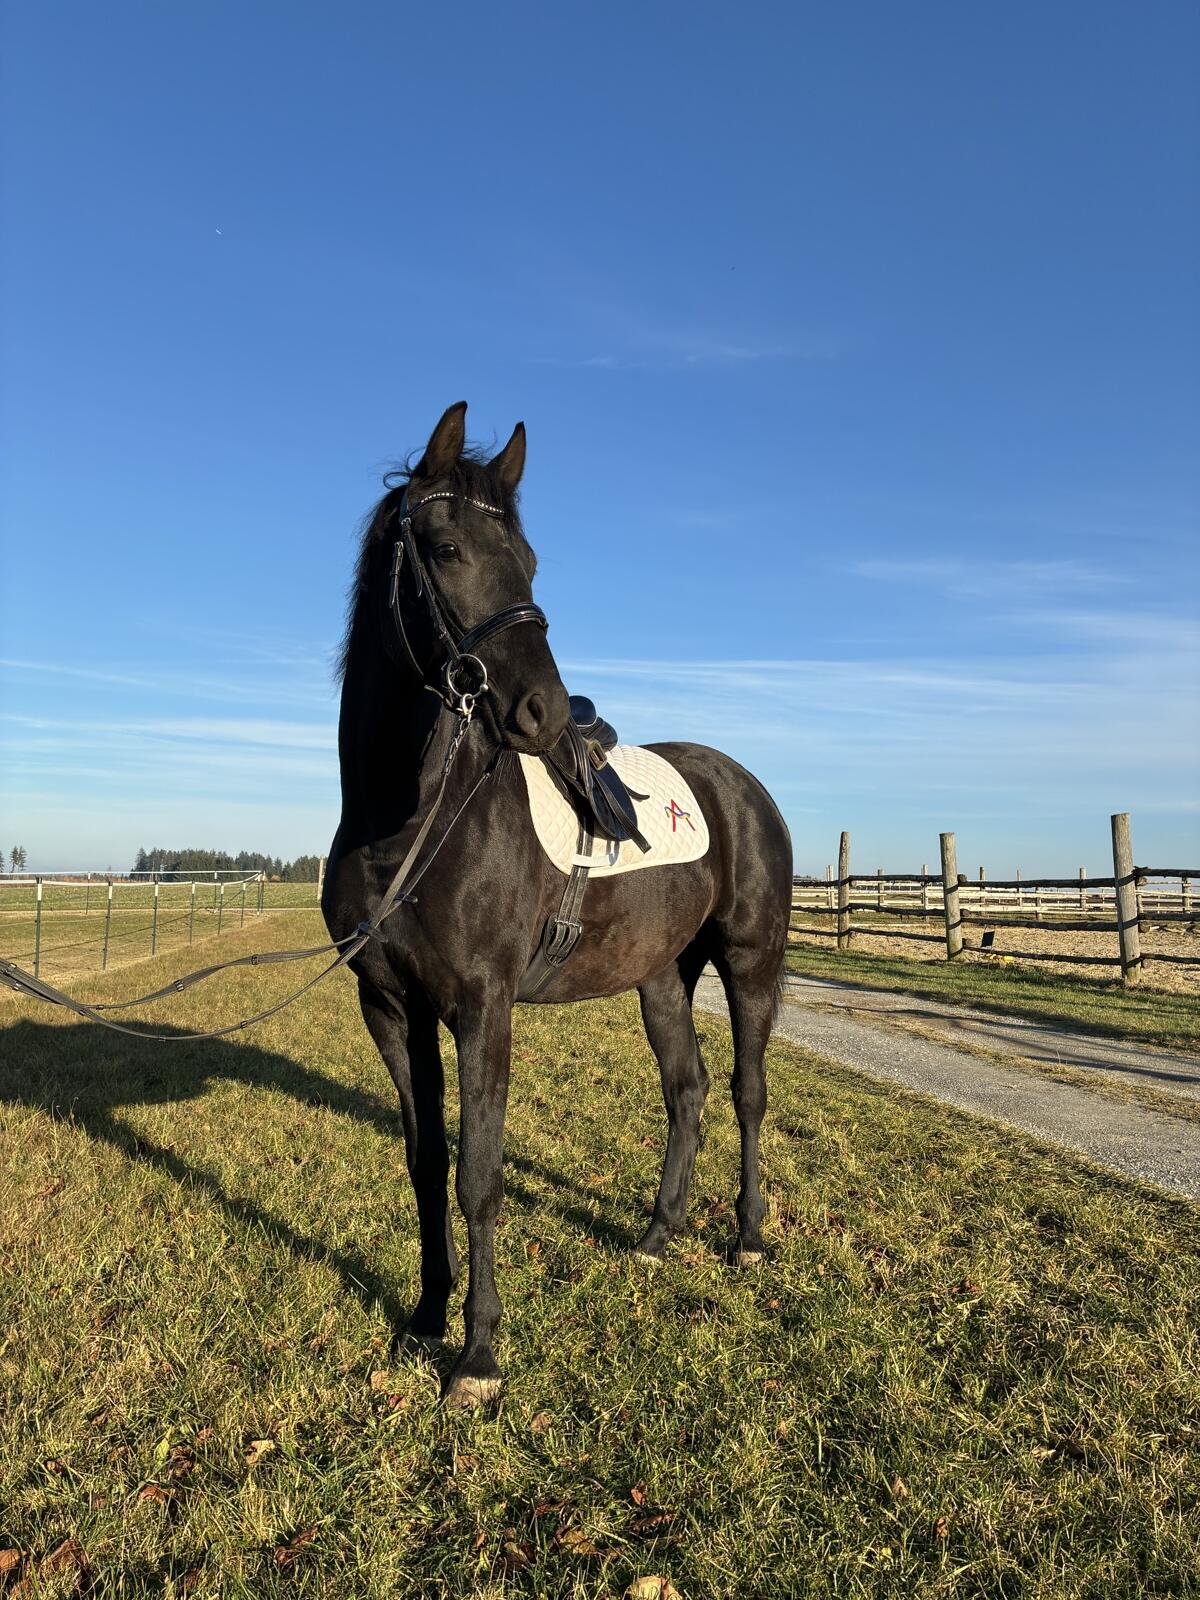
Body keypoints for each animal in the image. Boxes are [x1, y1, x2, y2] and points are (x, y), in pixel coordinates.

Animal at [322, 402, 792, 1407]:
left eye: (530, 560)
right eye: (446, 547)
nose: (539, 709)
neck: (407, 822)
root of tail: (741, 784)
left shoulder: (482, 1008)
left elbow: (480, 1175)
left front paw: (479, 1357)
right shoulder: (392, 1008)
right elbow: (425, 1163)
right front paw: (426, 1318)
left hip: (749, 964)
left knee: (746, 1092)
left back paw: (745, 1235)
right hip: (661, 978)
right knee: (687, 1090)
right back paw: (655, 1236)